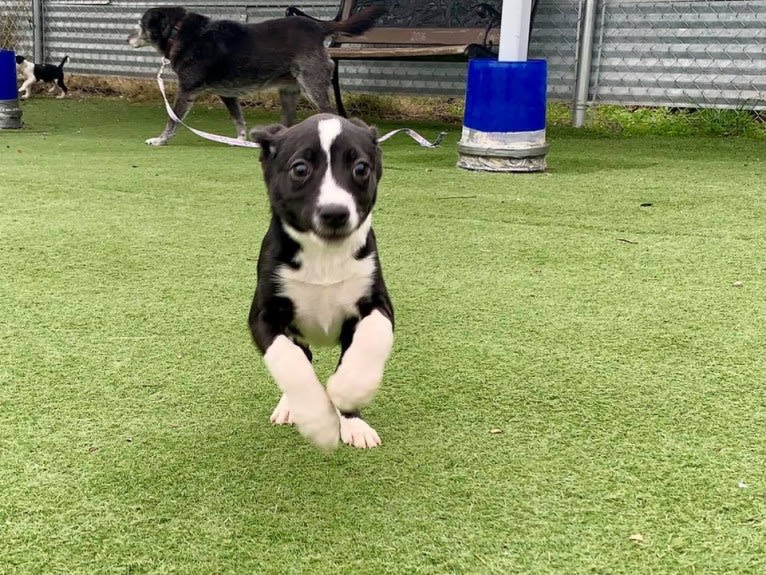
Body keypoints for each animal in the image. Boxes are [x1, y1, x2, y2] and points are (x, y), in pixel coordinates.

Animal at [128, 5, 388, 146]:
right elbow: (239, 120)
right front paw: (240, 140)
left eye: (140, 24)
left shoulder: (186, 91)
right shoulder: (227, 95)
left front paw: (160, 140)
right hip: (289, 92)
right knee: (288, 122)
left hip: (312, 86)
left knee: (333, 114)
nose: (127, 38)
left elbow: (172, 120)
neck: (178, 31)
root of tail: (318, 27)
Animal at [250, 115, 396, 452]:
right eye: (300, 169)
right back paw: (291, 408)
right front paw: (318, 420)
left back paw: (353, 422)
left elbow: (374, 335)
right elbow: (288, 361)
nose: (335, 213)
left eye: (361, 168)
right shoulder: (263, 316)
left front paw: (348, 391)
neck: (324, 256)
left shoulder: (377, 301)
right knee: (302, 357)